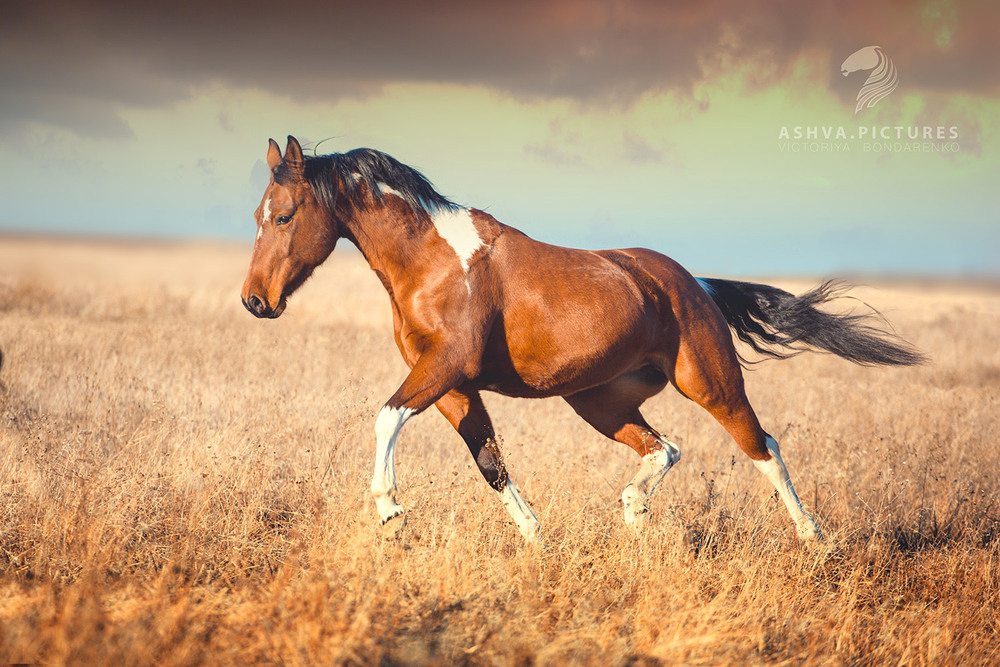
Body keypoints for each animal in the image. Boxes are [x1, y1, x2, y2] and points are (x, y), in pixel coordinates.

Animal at [240, 136, 920, 544]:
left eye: (285, 216)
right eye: (256, 216)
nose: (255, 301)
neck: (434, 263)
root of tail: (693, 283)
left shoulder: (444, 368)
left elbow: (385, 416)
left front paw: (387, 506)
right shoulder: (455, 389)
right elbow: (490, 464)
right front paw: (536, 542)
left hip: (711, 384)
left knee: (763, 448)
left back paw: (814, 541)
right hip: (600, 402)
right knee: (665, 449)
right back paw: (635, 515)